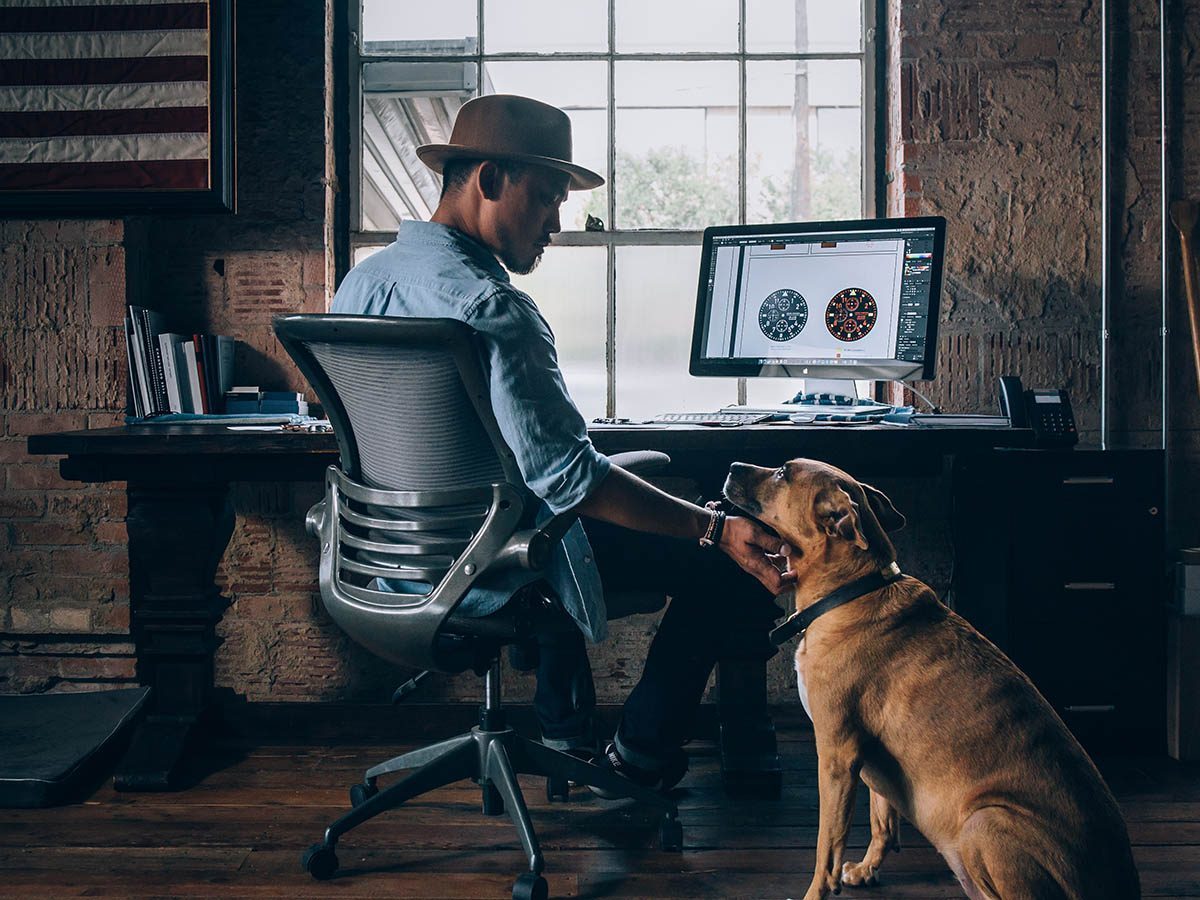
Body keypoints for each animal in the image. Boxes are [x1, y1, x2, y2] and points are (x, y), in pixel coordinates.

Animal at [715, 460, 1137, 897]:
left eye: (783, 472)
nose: (732, 465)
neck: (852, 591)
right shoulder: (871, 762)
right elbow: (883, 821)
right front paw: (866, 870)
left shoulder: (836, 755)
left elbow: (826, 850)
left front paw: (817, 891)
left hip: (984, 821)